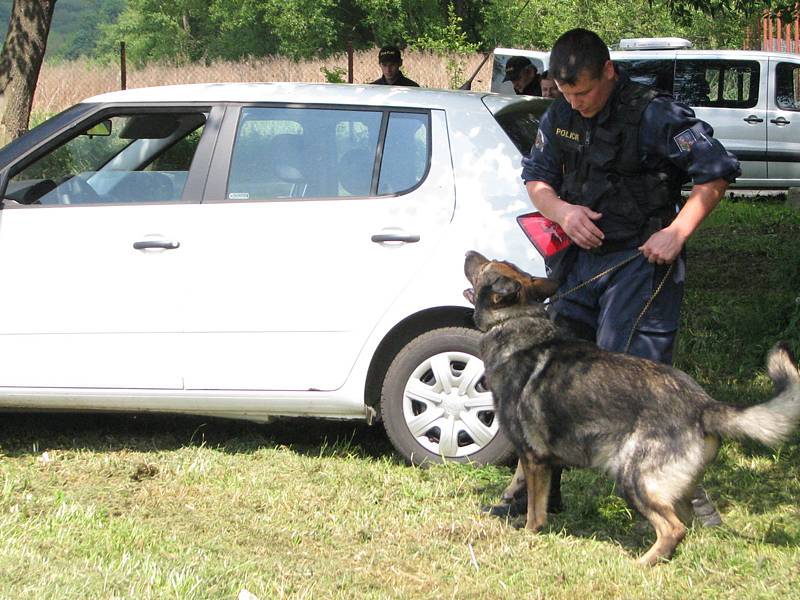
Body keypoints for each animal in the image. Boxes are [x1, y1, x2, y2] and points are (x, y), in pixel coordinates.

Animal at [462, 251, 800, 564]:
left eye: (484, 266)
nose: (467, 253)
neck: (513, 321)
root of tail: (703, 405)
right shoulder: (538, 457)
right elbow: (523, 483)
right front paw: (512, 500)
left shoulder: (534, 456)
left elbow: (535, 508)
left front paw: (530, 531)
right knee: (685, 522)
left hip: (633, 478)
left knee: (673, 528)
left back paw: (644, 562)